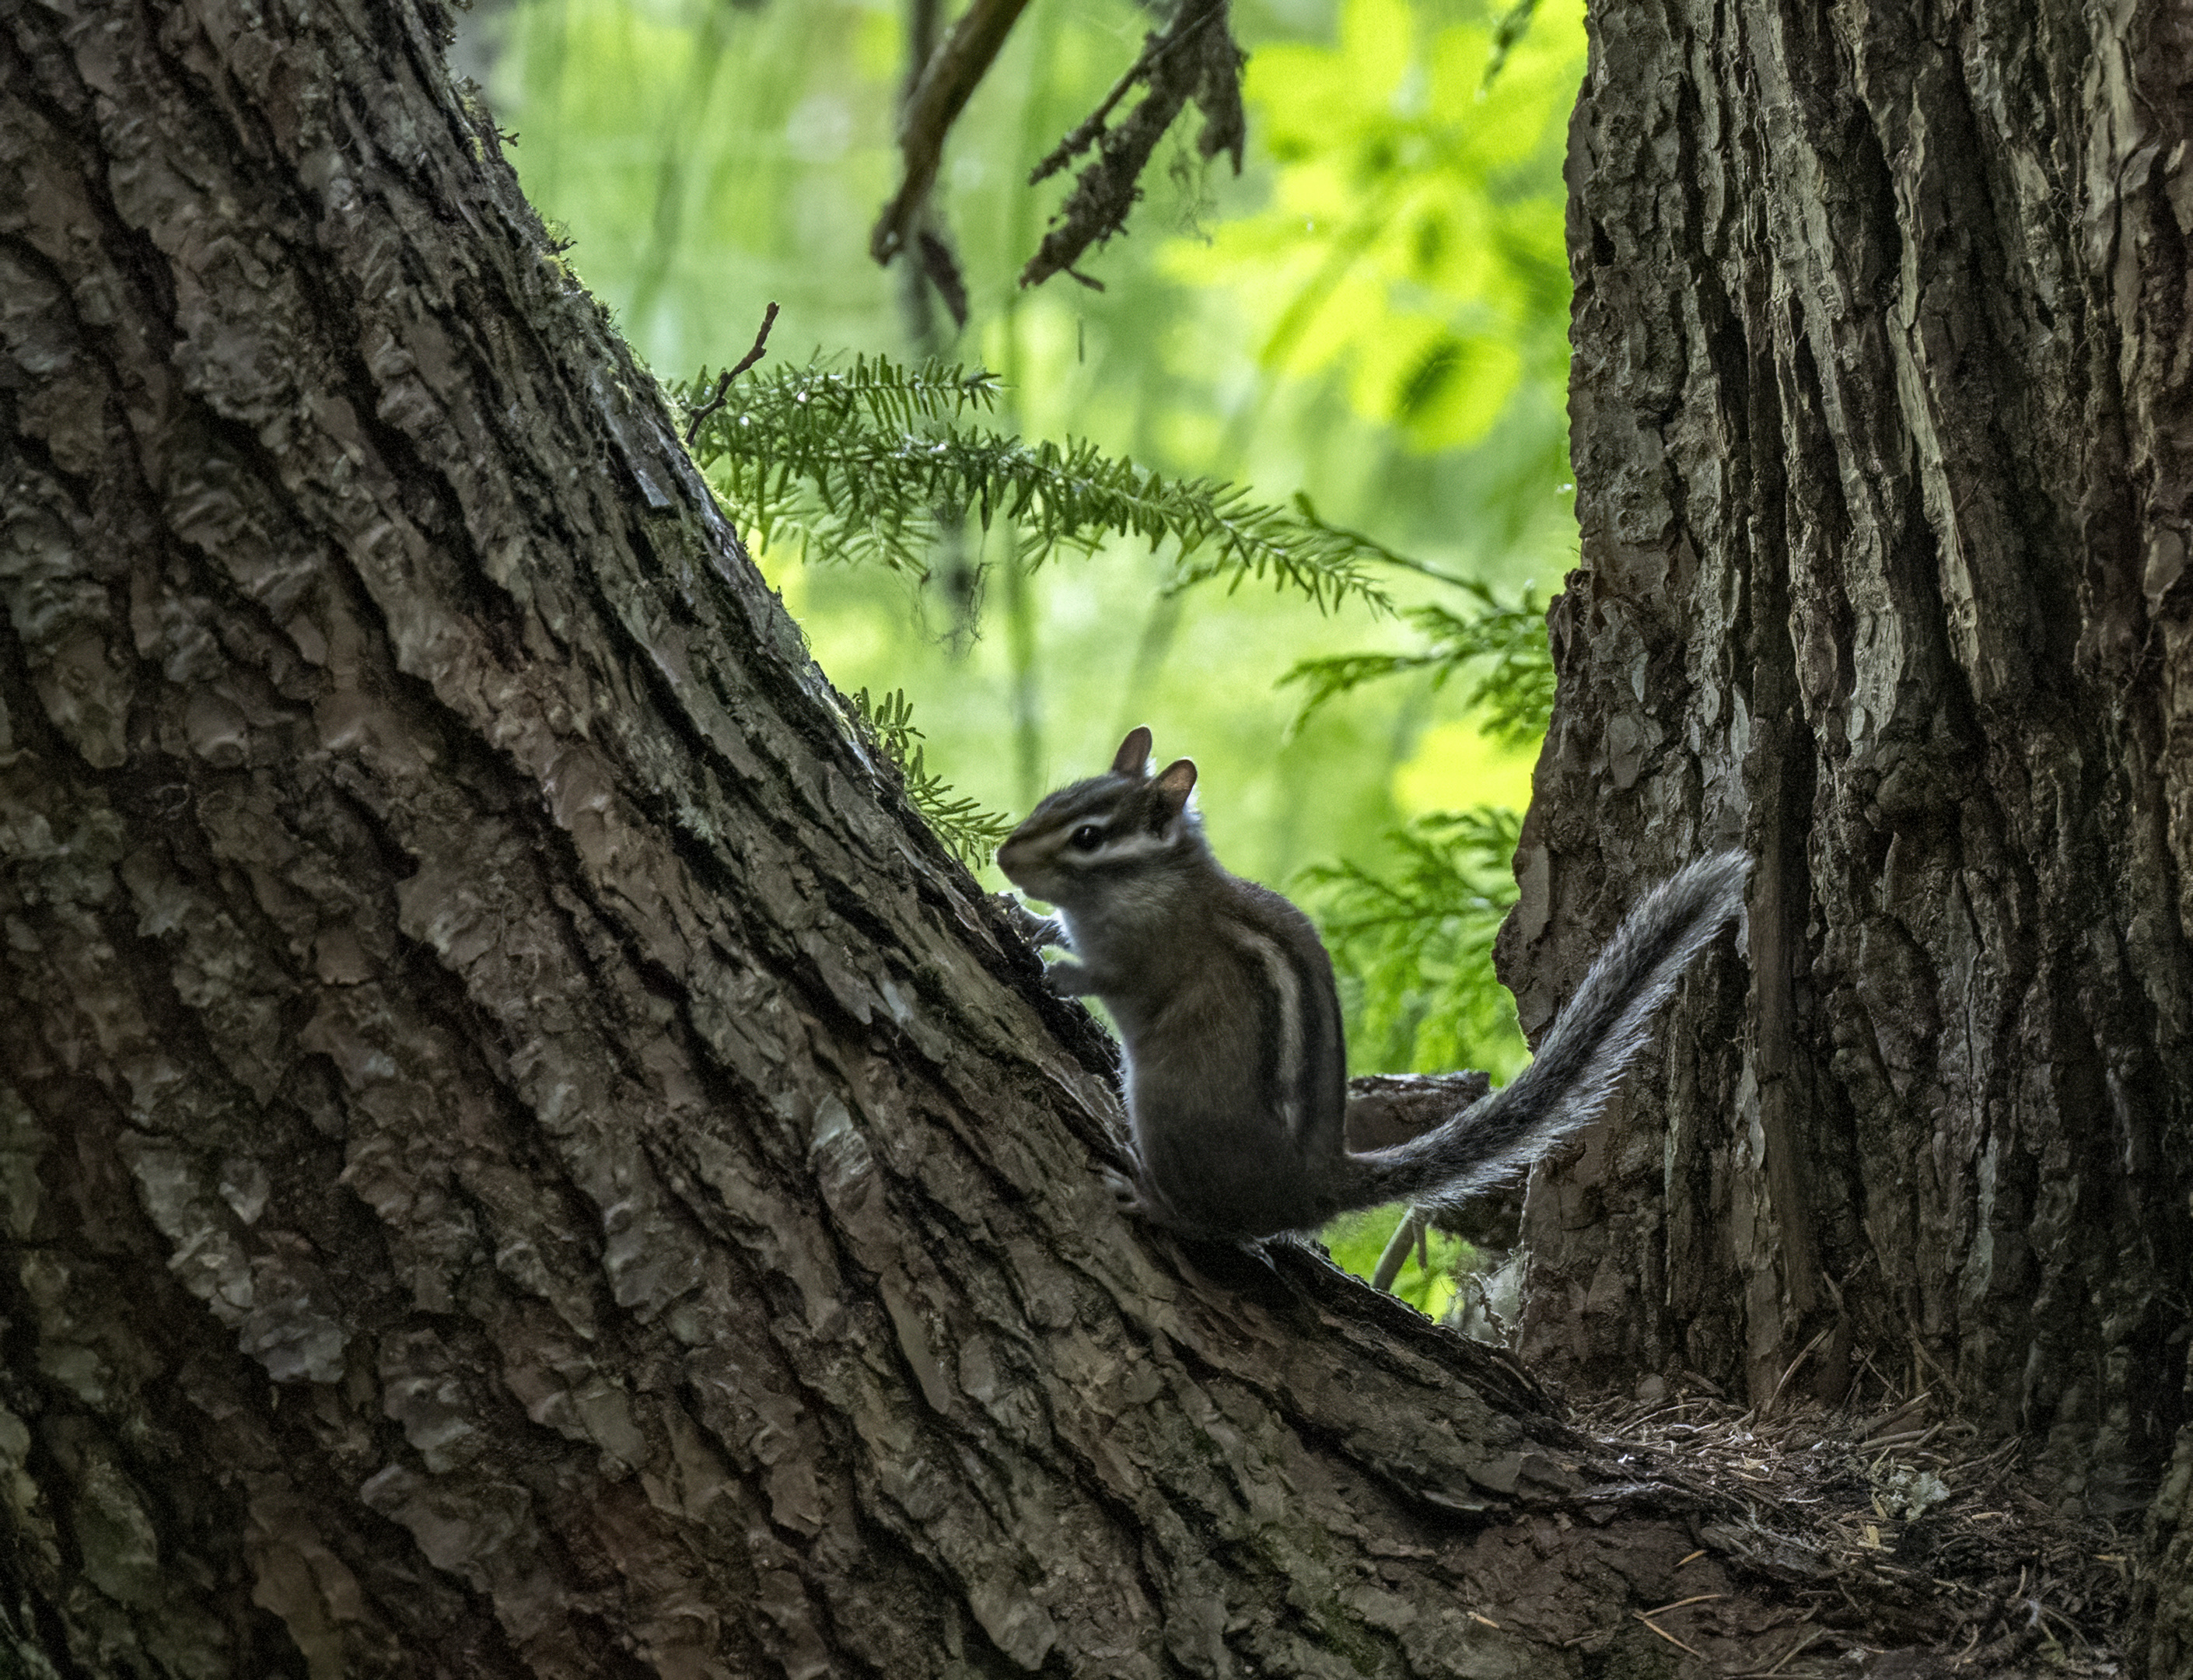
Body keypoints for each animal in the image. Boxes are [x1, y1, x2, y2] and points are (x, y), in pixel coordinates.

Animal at [996, 726, 1749, 1241]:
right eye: (1049, 800)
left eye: (1088, 837)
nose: (1003, 857)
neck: (1150, 882)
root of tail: (1312, 1185)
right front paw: (1029, 922)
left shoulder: (1154, 952)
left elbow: (1118, 978)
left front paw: (1063, 971)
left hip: (1166, 1108)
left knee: (1217, 1229)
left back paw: (1151, 1201)